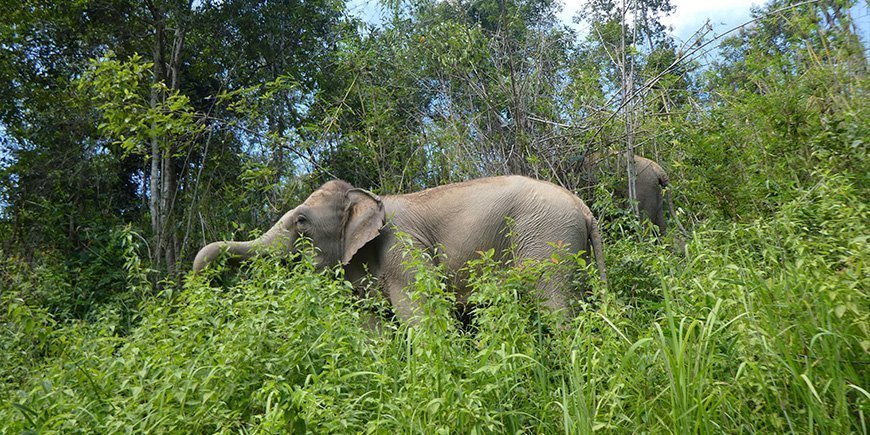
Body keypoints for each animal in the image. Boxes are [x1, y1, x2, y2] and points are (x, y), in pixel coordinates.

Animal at [193, 175, 607, 322]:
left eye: (301, 222)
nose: (202, 282)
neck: (367, 196)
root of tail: (585, 209)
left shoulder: (402, 250)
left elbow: (418, 317)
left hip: (548, 241)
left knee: (555, 305)